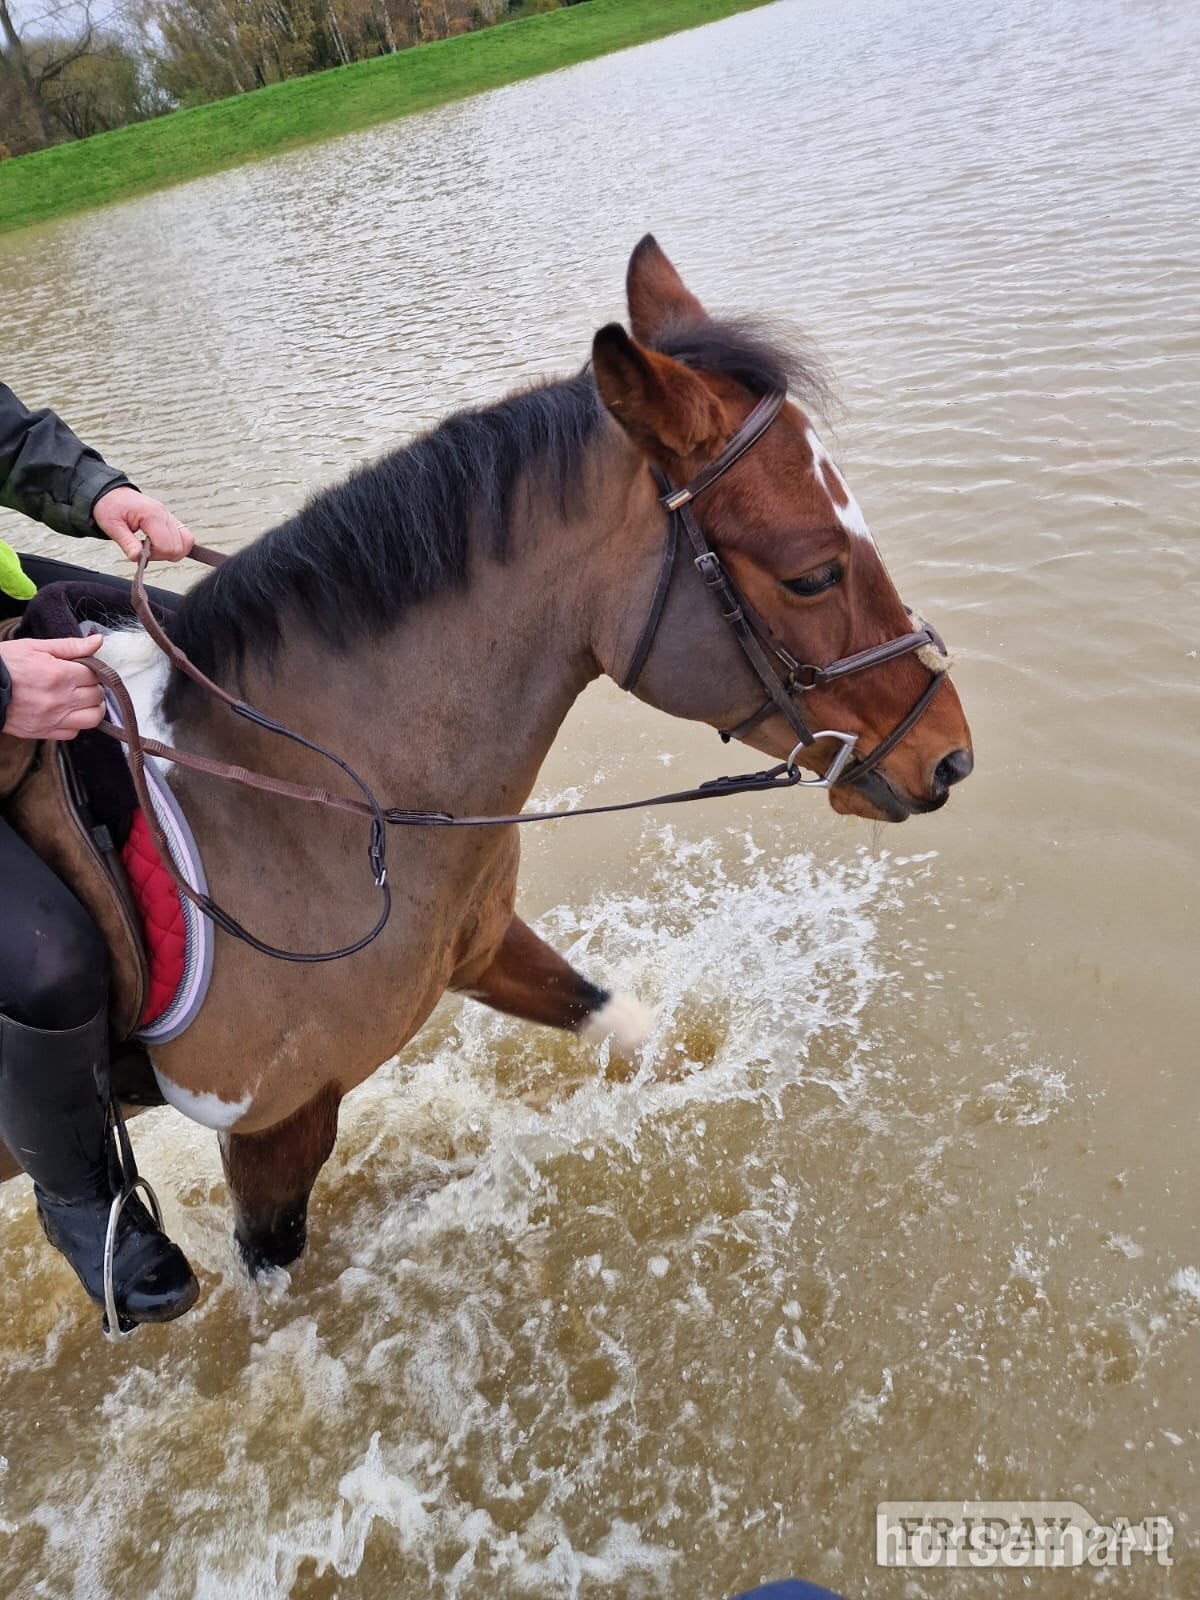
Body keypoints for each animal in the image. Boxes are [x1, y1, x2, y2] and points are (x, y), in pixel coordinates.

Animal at [0, 237, 972, 1289]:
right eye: (811, 573)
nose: (948, 757)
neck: (309, 808)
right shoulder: (271, 1120)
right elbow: (274, 1272)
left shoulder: (485, 944)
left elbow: (622, 1023)